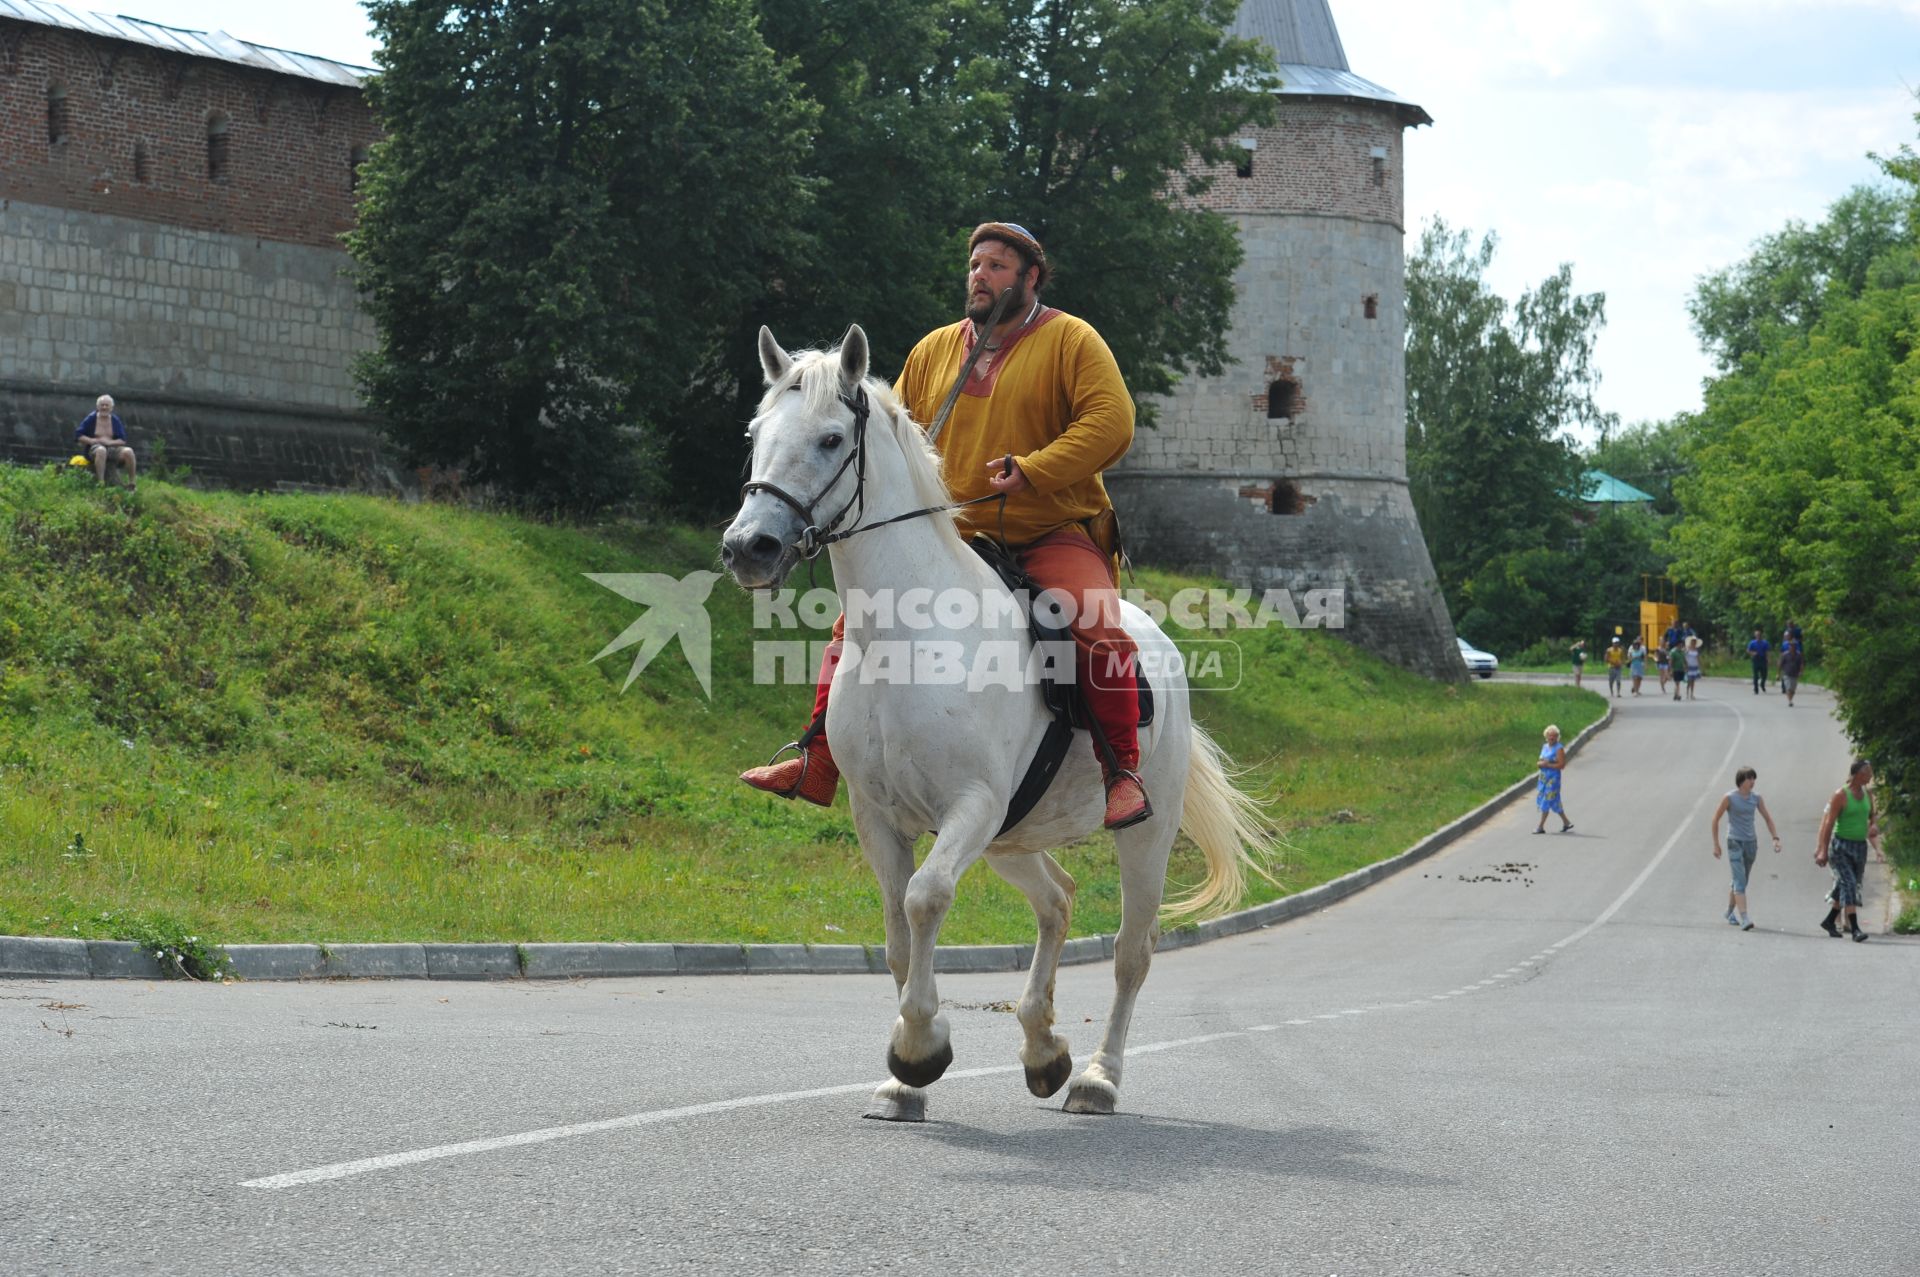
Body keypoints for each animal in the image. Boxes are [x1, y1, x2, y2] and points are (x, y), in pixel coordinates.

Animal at [721, 326, 1274, 1113]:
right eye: (756, 433)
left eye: (831, 438)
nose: (749, 548)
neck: (907, 634)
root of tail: (1161, 649)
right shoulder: (878, 817)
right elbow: (897, 933)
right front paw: (904, 1080)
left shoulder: (972, 805)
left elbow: (925, 899)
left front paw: (920, 1048)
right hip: (1013, 839)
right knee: (1058, 902)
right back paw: (1044, 1050)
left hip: (1143, 834)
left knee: (1130, 952)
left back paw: (1098, 1076)